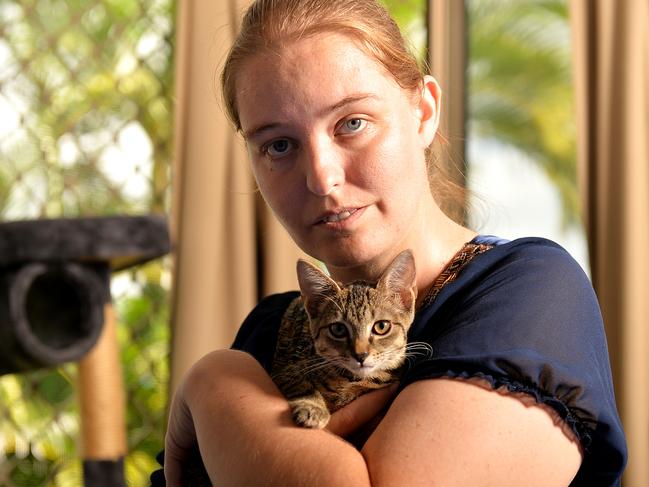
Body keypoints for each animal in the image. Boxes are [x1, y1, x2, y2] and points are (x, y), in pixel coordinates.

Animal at [270, 250, 418, 428]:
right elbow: (300, 384)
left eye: (381, 326)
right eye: (338, 329)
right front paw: (313, 408)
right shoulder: (285, 370)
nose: (360, 355)